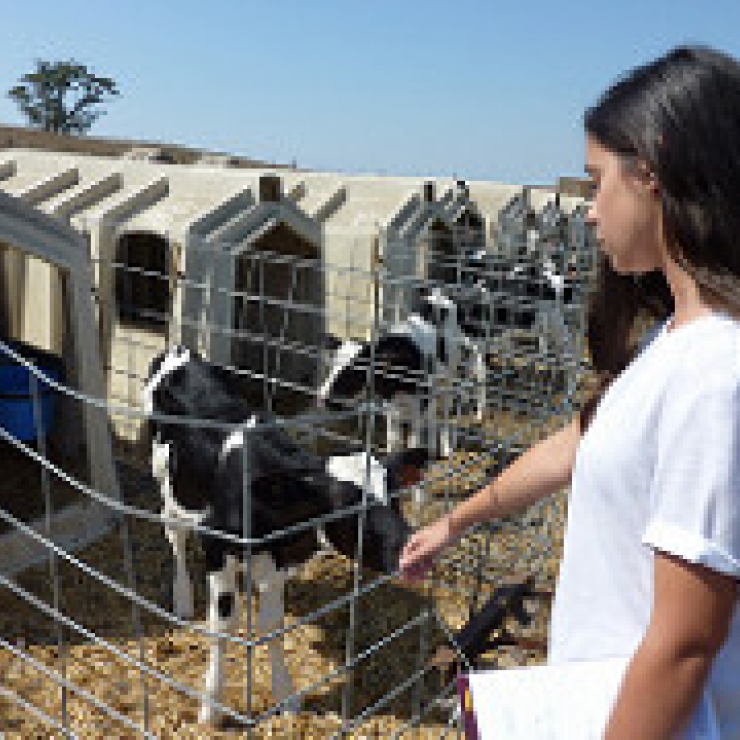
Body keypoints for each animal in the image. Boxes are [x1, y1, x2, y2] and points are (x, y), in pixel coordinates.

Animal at [142, 346, 428, 724]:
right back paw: (183, 598)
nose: (412, 550)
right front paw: (211, 709)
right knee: (173, 533)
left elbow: (274, 625)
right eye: (345, 510)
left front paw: (286, 697)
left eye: (394, 498)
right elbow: (222, 626)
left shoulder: (278, 558)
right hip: (167, 481)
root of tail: (180, 351)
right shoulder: (215, 544)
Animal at [316, 288, 486, 462]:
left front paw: (415, 453)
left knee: (445, 410)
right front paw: (392, 455)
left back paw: (445, 447)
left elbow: (415, 435)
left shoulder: (421, 397)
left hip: (451, 373)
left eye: (352, 372)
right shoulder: (390, 402)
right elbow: (393, 434)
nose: (322, 397)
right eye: (330, 366)